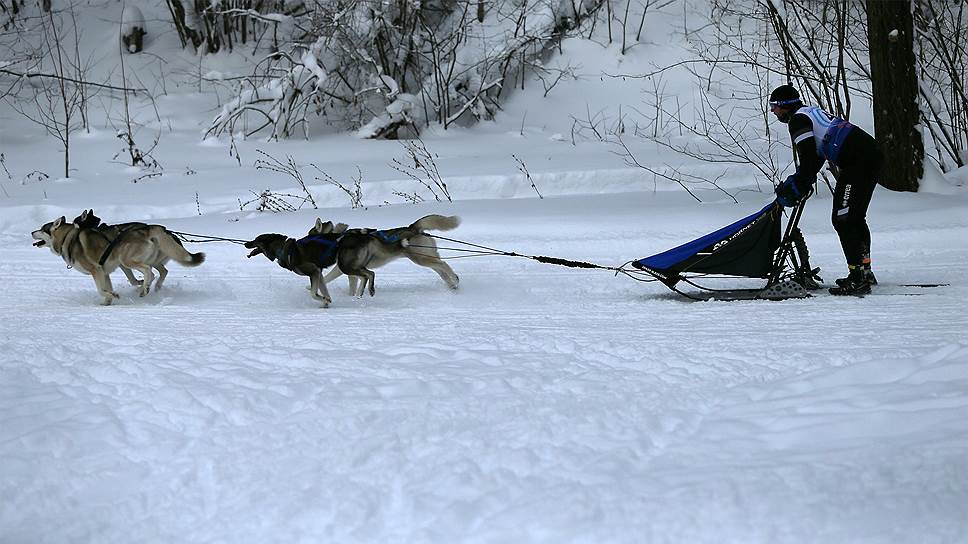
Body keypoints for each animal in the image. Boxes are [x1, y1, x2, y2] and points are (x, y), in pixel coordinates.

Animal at [32, 212, 205, 306]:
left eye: (41, 229)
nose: (32, 232)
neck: (67, 238)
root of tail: (149, 228)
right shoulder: (104, 273)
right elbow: (106, 288)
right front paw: (107, 302)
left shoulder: (96, 270)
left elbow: (101, 290)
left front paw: (113, 296)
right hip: (151, 260)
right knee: (161, 271)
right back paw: (152, 287)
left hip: (126, 259)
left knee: (149, 272)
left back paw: (145, 288)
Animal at [310, 214, 462, 298]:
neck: (337, 239)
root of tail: (413, 227)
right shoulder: (349, 271)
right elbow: (352, 286)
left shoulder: (341, 268)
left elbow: (329, 278)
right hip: (427, 257)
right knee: (441, 269)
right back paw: (452, 285)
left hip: (420, 258)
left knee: (443, 264)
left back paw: (454, 279)